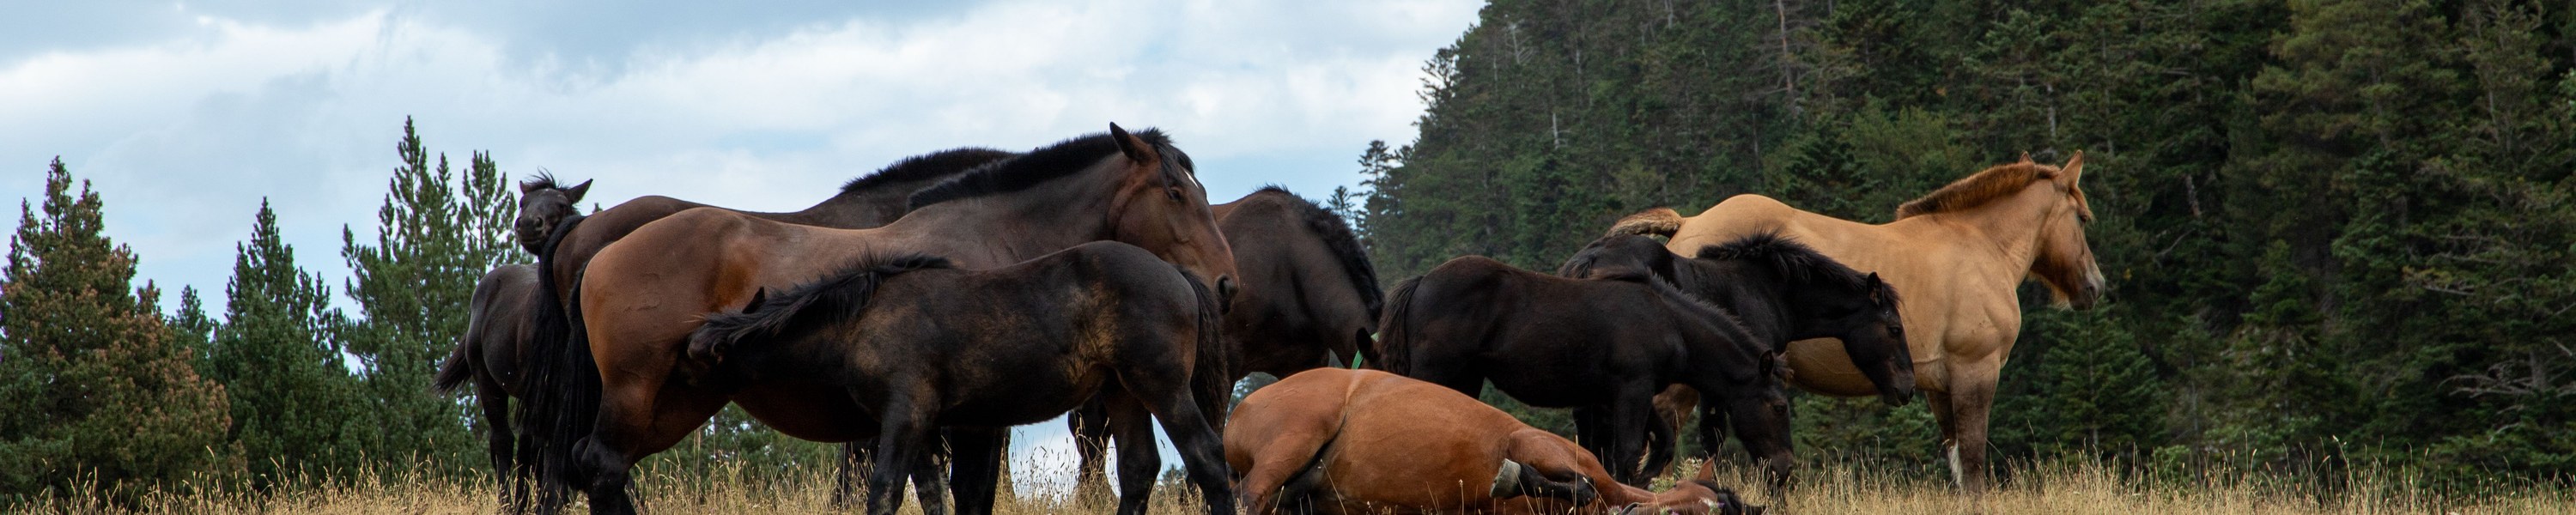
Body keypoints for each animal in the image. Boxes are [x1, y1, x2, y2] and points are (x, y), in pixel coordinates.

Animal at [682, 242, 1236, 515]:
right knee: (1139, 469)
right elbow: (932, 494)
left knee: (1208, 460)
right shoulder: (925, 425)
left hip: (1160, 386)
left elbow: (884, 489)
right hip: (1122, 391)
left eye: (700, 359)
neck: (861, 320)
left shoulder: (904, 415)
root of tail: (1177, 274)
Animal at [1067, 185, 1385, 505]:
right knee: (1091, 426)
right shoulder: (1225, 363)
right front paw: (1194, 499)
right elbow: (1214, 426)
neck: (1288, 268)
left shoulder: (1306, 363)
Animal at [1225, 368, 1763, 515]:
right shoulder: (1537, 446)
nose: (1632, 512)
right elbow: (1578, 484)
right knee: (1250, 495)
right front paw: (1511, 476)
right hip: (1295, 437)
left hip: (1302, 488)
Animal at [1372, 254, 1789, 488]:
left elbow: (1660, 442)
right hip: (1437, 373)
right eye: (1779, 407)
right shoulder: (1632, 389)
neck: (1669, 321)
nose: (1783, 469)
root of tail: (1421, 283)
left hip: (1466, 379)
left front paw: (1644, 481)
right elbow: (1628, 452)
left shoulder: (1624, 393)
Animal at [1604, 152, 2103, 495]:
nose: (2094, 285)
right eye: (2082, 217)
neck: (1979, 247)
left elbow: (1960, 465)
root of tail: (1686, 225)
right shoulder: (1975, 373)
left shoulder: (1938, 387)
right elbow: (1976, 464)